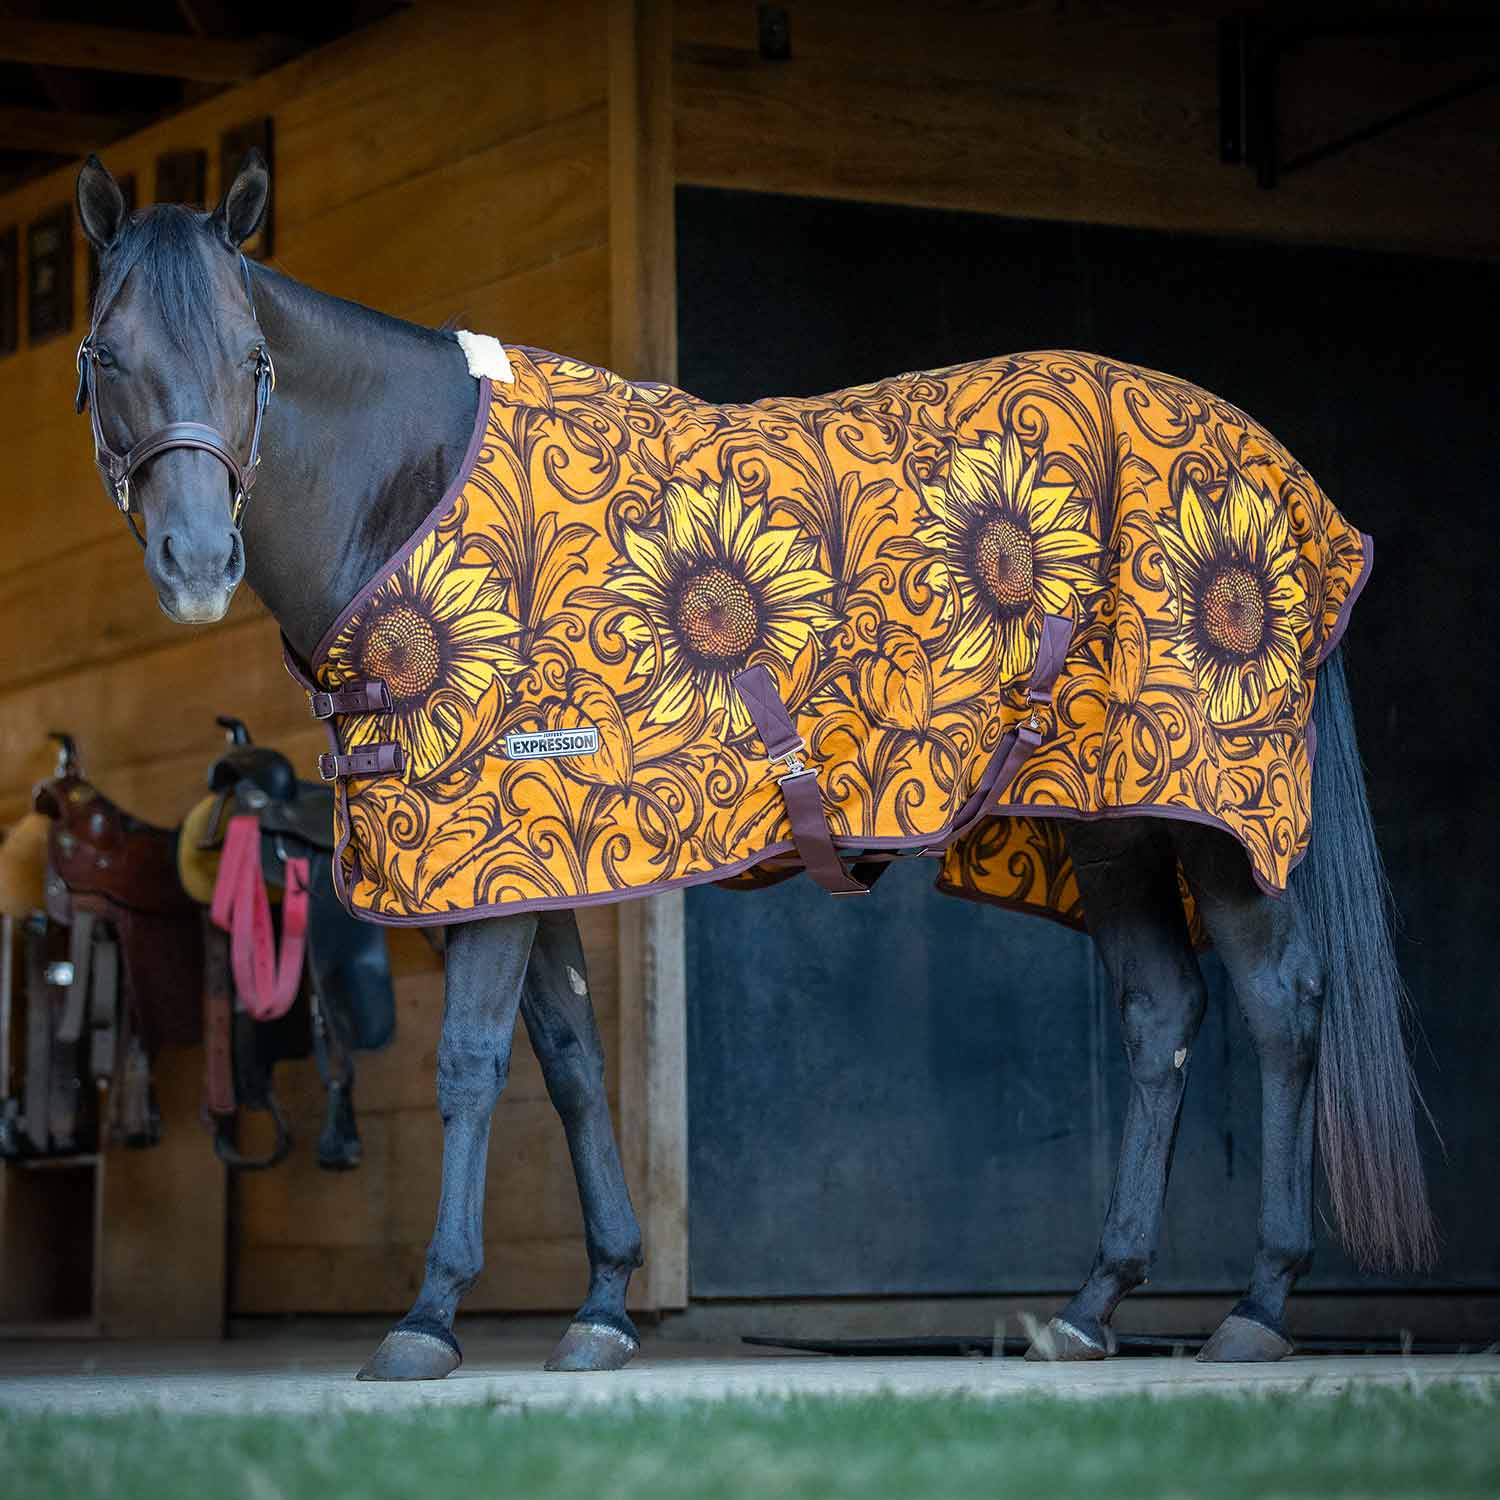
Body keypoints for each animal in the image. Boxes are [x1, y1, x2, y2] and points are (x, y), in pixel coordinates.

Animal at [67, 151, 1433, 1380]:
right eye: (105, 357)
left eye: (254, 362)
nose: (197, 561)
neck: (414, 490)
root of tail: (1296, 489)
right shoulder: (530, 863)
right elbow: (573, 1065)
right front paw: (605, 1306)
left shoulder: (486, 856)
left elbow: (471, 1065)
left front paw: (429, 1319)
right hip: (1106, 823)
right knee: (1162, 1016)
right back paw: (1092, 1308)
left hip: (1217, 826)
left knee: (1280, 1006)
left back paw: (1256, 1307)